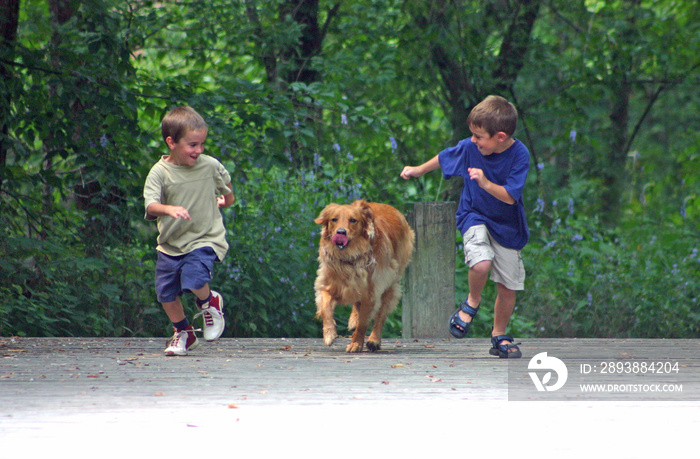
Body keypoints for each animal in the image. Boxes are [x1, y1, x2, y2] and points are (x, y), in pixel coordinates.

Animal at [314, 199, 412, 354]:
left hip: (390, 285)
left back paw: (374, 340)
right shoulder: (328, 285)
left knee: (381, 316)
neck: (349, 258)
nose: (341, 232)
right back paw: (353, 320)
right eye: (334, 219)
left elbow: (363, 323)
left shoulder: (371, 294)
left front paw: (356, 344)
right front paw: (329, 334)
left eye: (353, 220)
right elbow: (326, 309)